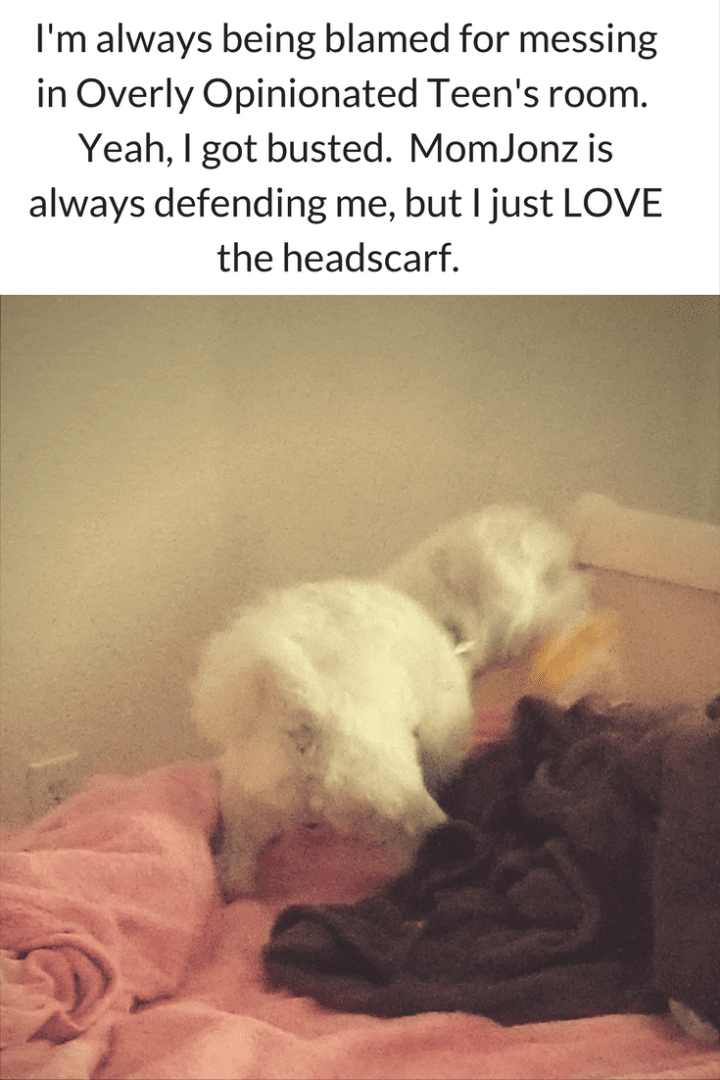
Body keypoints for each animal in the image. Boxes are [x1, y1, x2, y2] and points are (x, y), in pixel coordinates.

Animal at [191, 503, 587, 894]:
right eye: (552, 576)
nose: (584, 589)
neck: (443, 615)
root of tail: (305, 707)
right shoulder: (442, 740)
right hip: (393, 800)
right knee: (415, 839)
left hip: (250, 799)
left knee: (238, 853)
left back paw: (237, 884)